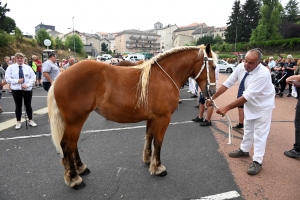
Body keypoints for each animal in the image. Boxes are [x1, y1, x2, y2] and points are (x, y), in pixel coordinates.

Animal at [48, 43, 218, 189]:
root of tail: (60, 77)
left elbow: (149, 136)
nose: (212, 92)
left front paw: (148, 160)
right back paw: (74, 178)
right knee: (67, 145)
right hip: (75, 120)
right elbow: (158, 142)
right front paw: (158, 167)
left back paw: (81, 168)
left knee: (72, 145)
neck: (165, 76)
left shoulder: (153, 118)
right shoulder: (163, 118)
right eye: (213, 66)